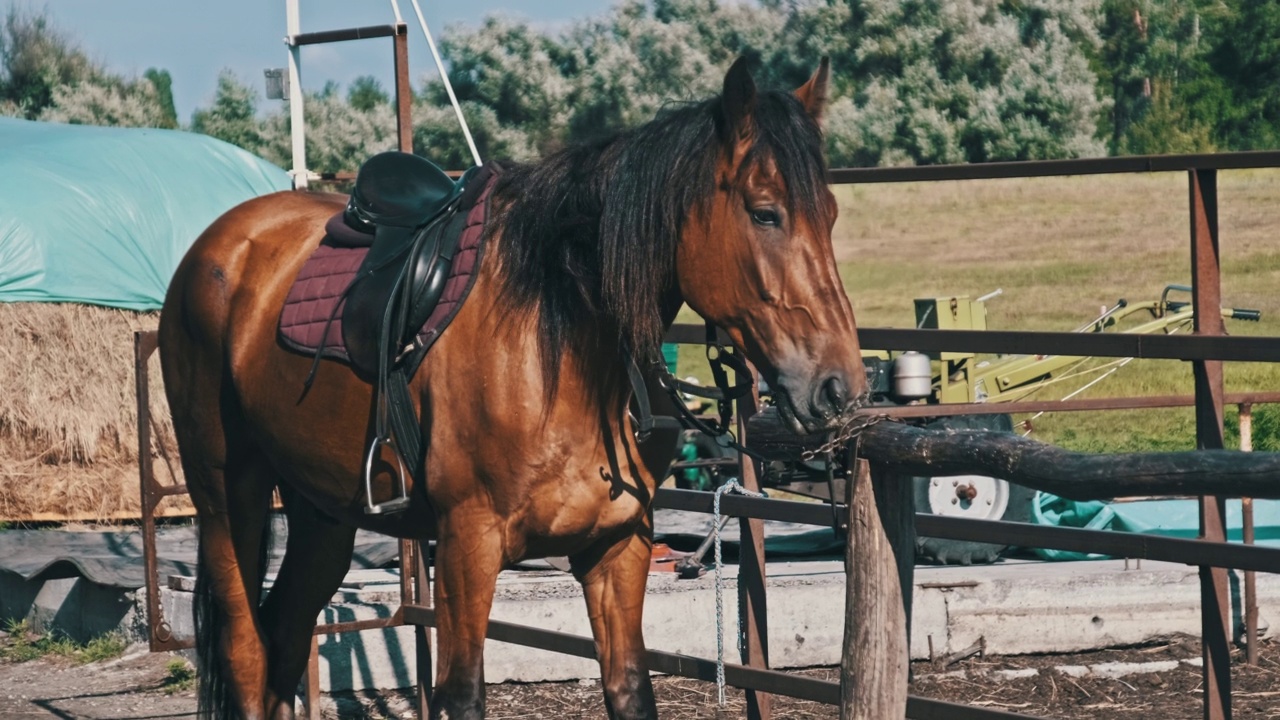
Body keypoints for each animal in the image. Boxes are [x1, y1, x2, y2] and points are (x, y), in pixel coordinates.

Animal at [157, 57, 860, 717]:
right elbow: (463, 693)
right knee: (246, 648)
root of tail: (220, 244)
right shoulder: (466, 545)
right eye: (765, 213)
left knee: (284, 632)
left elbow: (629, 688)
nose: (838, 386)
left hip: (324, 512)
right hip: (227, 496)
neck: (567, 353)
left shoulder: (618, 546)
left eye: (831, 215)